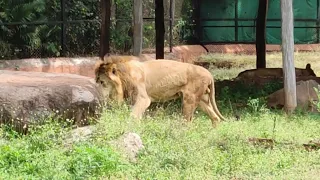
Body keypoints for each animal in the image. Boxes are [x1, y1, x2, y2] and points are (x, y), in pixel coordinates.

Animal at [94, 54, 226, 126]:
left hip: (189, 99)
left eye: (102, 82)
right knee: (215, 118)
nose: (99, 96)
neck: (123, 77)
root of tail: (209, 73)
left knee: (187, 122)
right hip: (202, 100)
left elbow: (133, 116)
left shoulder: (143, 99)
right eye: (96, 81)